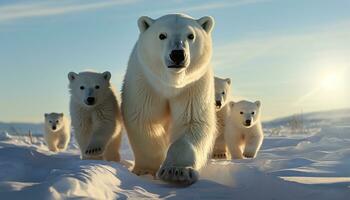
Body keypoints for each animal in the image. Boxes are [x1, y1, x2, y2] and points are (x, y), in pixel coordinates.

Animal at [122, 13, 216, 184]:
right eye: (162, 35)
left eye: (191, 35)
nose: (177, 54)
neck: (171, 83)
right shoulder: (145, 81)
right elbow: (143, 119)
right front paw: (145, 171)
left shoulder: (193, 85)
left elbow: (192, 121)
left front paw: (177, 171)